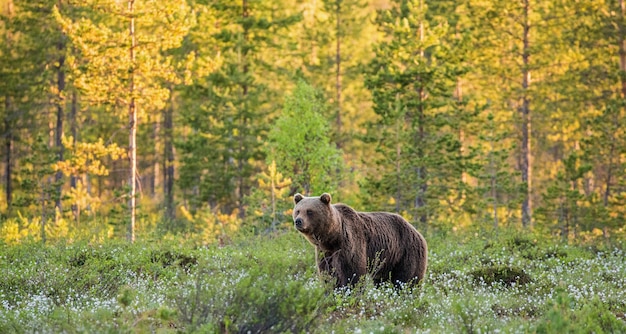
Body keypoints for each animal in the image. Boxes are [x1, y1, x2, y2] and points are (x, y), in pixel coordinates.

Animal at [292, 193, 426, 288]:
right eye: (298, 211)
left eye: (309, 211)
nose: (298, 221)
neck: (333, 237)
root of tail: (417, 232)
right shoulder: (325, 252)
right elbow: (328, 273)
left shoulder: (350, 242)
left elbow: (353, 272)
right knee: (381, 280)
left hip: (407, 251)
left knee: (407, 279)